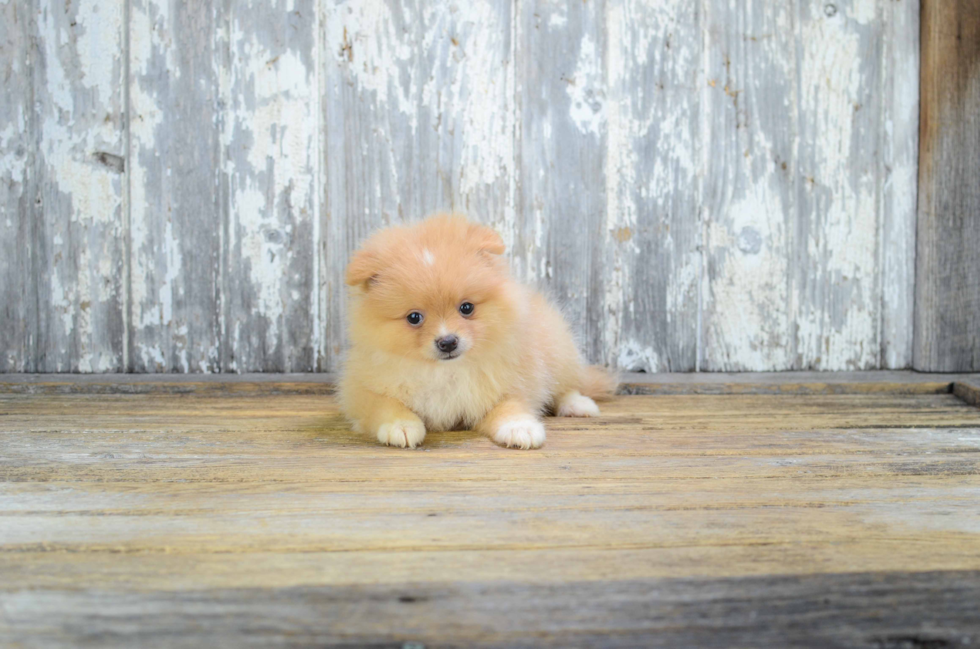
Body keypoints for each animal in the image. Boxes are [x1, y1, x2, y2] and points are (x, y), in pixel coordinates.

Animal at [336, 215, 612, 448]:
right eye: (414, 318)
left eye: (466, 308)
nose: (448, 342)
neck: (445, 371)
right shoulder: (361, 388)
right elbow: (384, 405)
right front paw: (401, 425)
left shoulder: (514, 379)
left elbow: (510, 405)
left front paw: (519, 427)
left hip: (557, 347)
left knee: (566, 385)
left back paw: (578, 404)